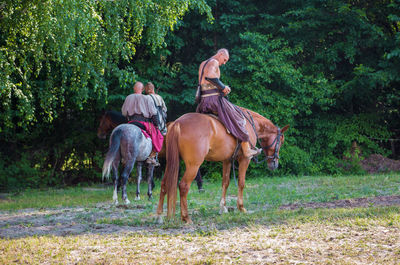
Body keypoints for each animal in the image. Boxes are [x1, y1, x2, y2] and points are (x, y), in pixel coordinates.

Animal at [155, 106, 288, 222]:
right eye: (281, 141)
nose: (275, 164)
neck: (252, 124)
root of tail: (177, 123)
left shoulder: (227, 160)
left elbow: (225, 182)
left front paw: (223, 207)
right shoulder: (244, 160)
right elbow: (241, 183)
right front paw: (241, 207)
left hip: (171, 163)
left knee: (164, 184)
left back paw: (159, 216)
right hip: (193, 166)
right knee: (183, 186)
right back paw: (186, 217)